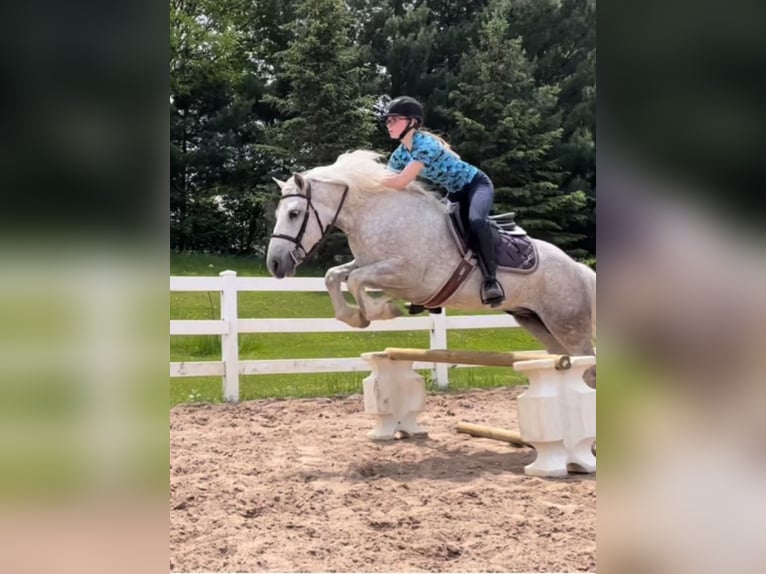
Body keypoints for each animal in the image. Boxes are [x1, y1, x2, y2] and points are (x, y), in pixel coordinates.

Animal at [268, 151, 596, 384]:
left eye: (294, 214)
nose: (274, 264)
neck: (374, 213)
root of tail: (579, 270)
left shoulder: (406, 275)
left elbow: (357, 281)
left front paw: (382, 311)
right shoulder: (370, 264)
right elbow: (334, 276)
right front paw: (355, 316)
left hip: (569, 326)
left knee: (588, 367)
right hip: (538, 323)